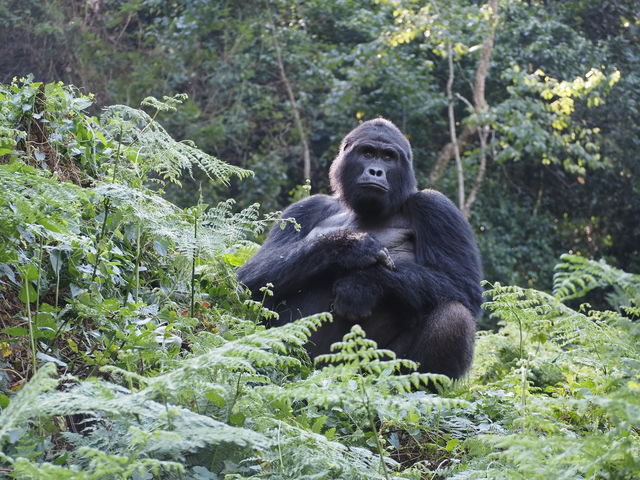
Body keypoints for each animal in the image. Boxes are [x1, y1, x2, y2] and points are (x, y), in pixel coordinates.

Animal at [238, 118, 482, 376]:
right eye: (367, 153)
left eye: (388, 157)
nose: (375, 171)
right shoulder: (306, 207)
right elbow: (250, 276)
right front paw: (348, 246)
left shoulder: (437, 206)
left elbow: (462, 286)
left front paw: (363, 282)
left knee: (454, 314)